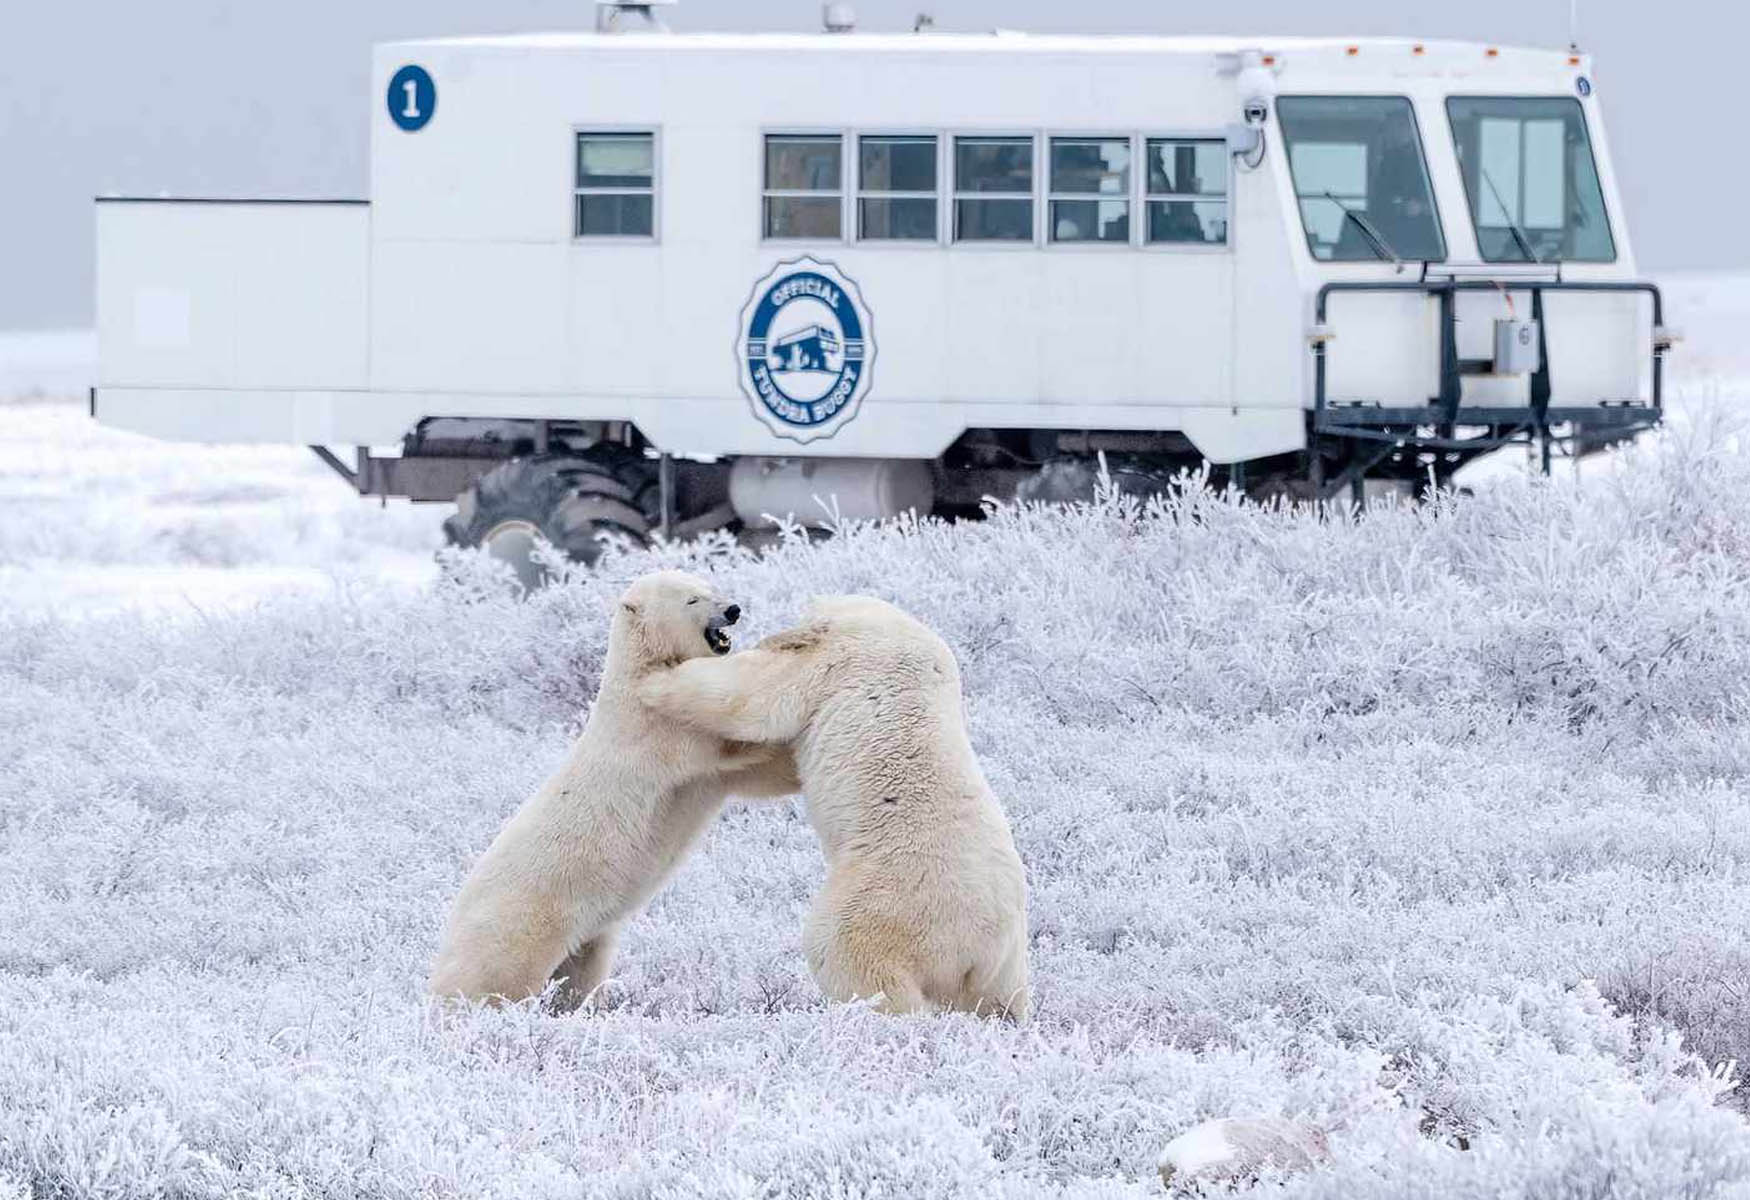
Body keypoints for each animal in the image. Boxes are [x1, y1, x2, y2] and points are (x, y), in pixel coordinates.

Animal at [430, 570, 801, 1007]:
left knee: (577, 981)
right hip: (519, 924)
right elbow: (729, 742)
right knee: (496, 981)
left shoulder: (702, 774)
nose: (733, 609)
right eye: (692, 600)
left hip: (586, 938)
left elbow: (758, 778)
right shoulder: (659, 727)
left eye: (712, 587)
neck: (637, 676)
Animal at [640, 598, 1022, 1021]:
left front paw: (656, 681)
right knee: (1001, 998)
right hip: (1006, 961)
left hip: (893, 896)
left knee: (846, 950)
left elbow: (756, 697)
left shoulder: (838, 659)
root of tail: (979, 946)